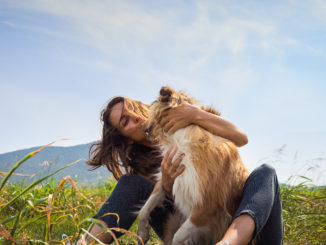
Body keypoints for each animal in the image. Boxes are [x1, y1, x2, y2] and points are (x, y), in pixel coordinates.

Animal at [138, 86, 250, 245]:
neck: (180, 141)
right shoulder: (168, 178)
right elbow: (144, 208)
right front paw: (142, 232)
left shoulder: (207, 208)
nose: (140, 126)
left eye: (150, 107)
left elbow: (178, 237)